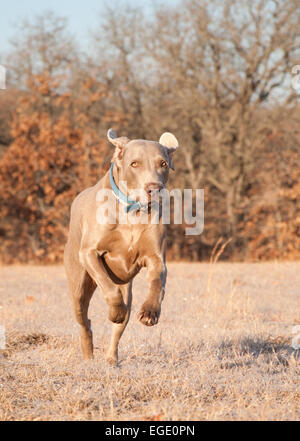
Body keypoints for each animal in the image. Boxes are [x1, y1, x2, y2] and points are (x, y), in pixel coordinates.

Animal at [63, 128, 178, 364]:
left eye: (162, 163)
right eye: (134, 164)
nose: (154, 188)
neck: (131, 212)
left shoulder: (156, 259)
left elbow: (156, 284)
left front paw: (150, 312)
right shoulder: (89, 253)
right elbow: (109, 288)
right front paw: (114, 311)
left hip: (128, 290)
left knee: (119, 326)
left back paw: (111, 359)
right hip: (78, 284)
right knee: (85, 321)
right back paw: (88, 355)